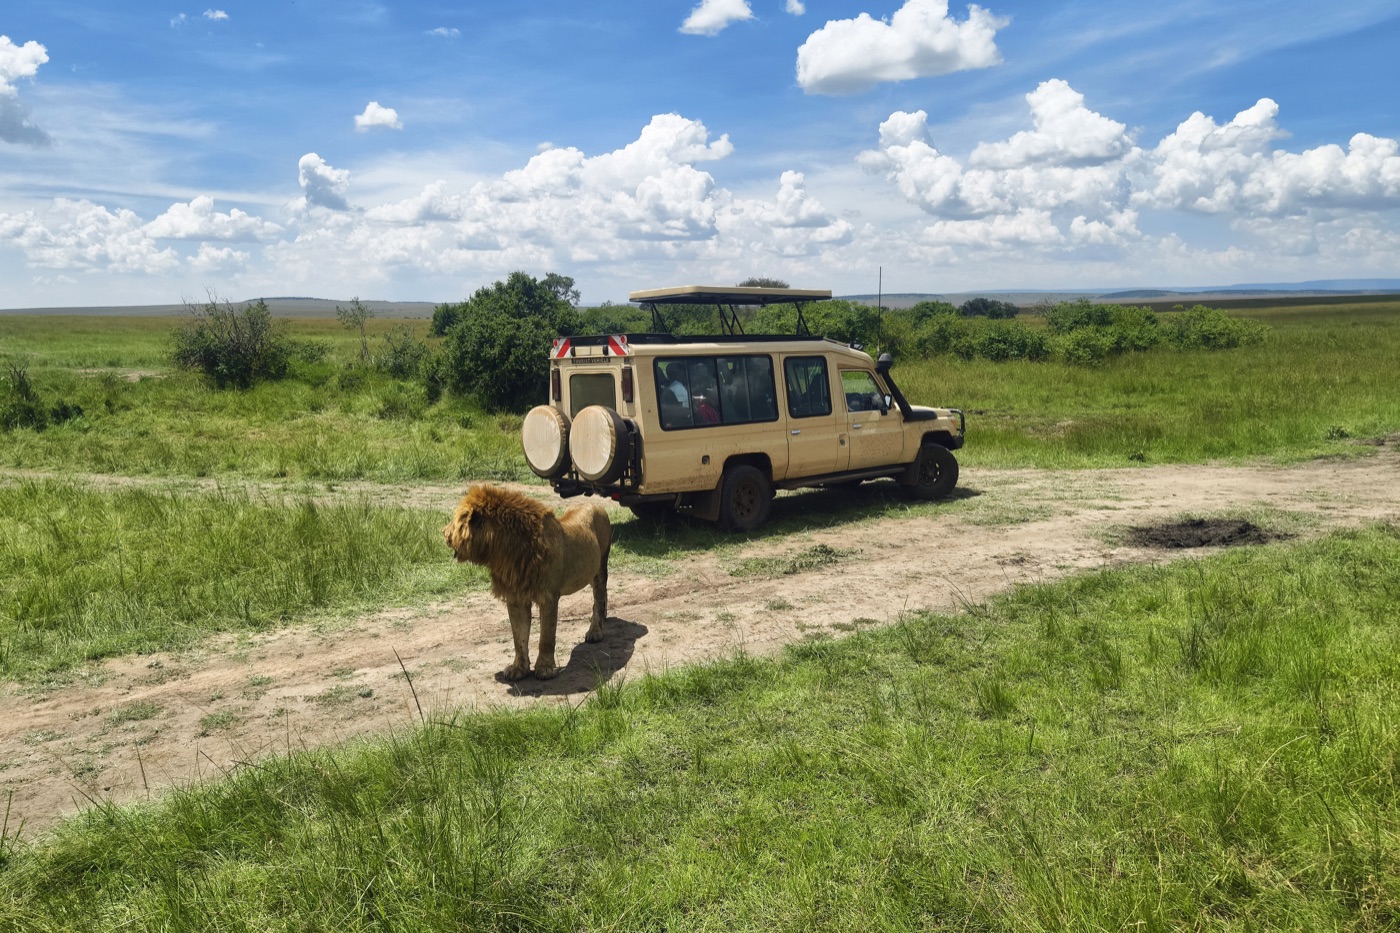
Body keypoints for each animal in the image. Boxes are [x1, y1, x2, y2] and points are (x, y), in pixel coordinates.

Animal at [443, 485, 612, 680]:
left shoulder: (549, 597)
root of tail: (595, 504)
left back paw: (595, 632)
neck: (506, 552)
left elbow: (546, 636)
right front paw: (519, 669)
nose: (444, 533)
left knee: (599, 599)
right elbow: (519, 636)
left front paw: (545, 669)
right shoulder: (515, 597)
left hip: (600, 568)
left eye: (457, 520)